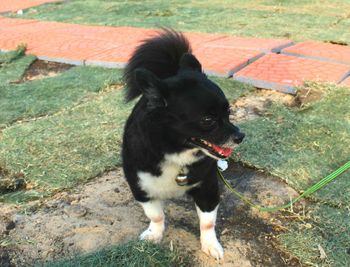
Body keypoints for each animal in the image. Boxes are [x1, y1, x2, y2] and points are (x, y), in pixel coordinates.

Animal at [121, 29, 245, 262]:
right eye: (208, 120)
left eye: (229, 112)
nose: (240, 136)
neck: (176, 154)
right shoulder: (142, 189)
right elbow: (156, 215)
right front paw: (155, 235)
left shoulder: (207, 188)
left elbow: (207, 222)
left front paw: (210, 245)